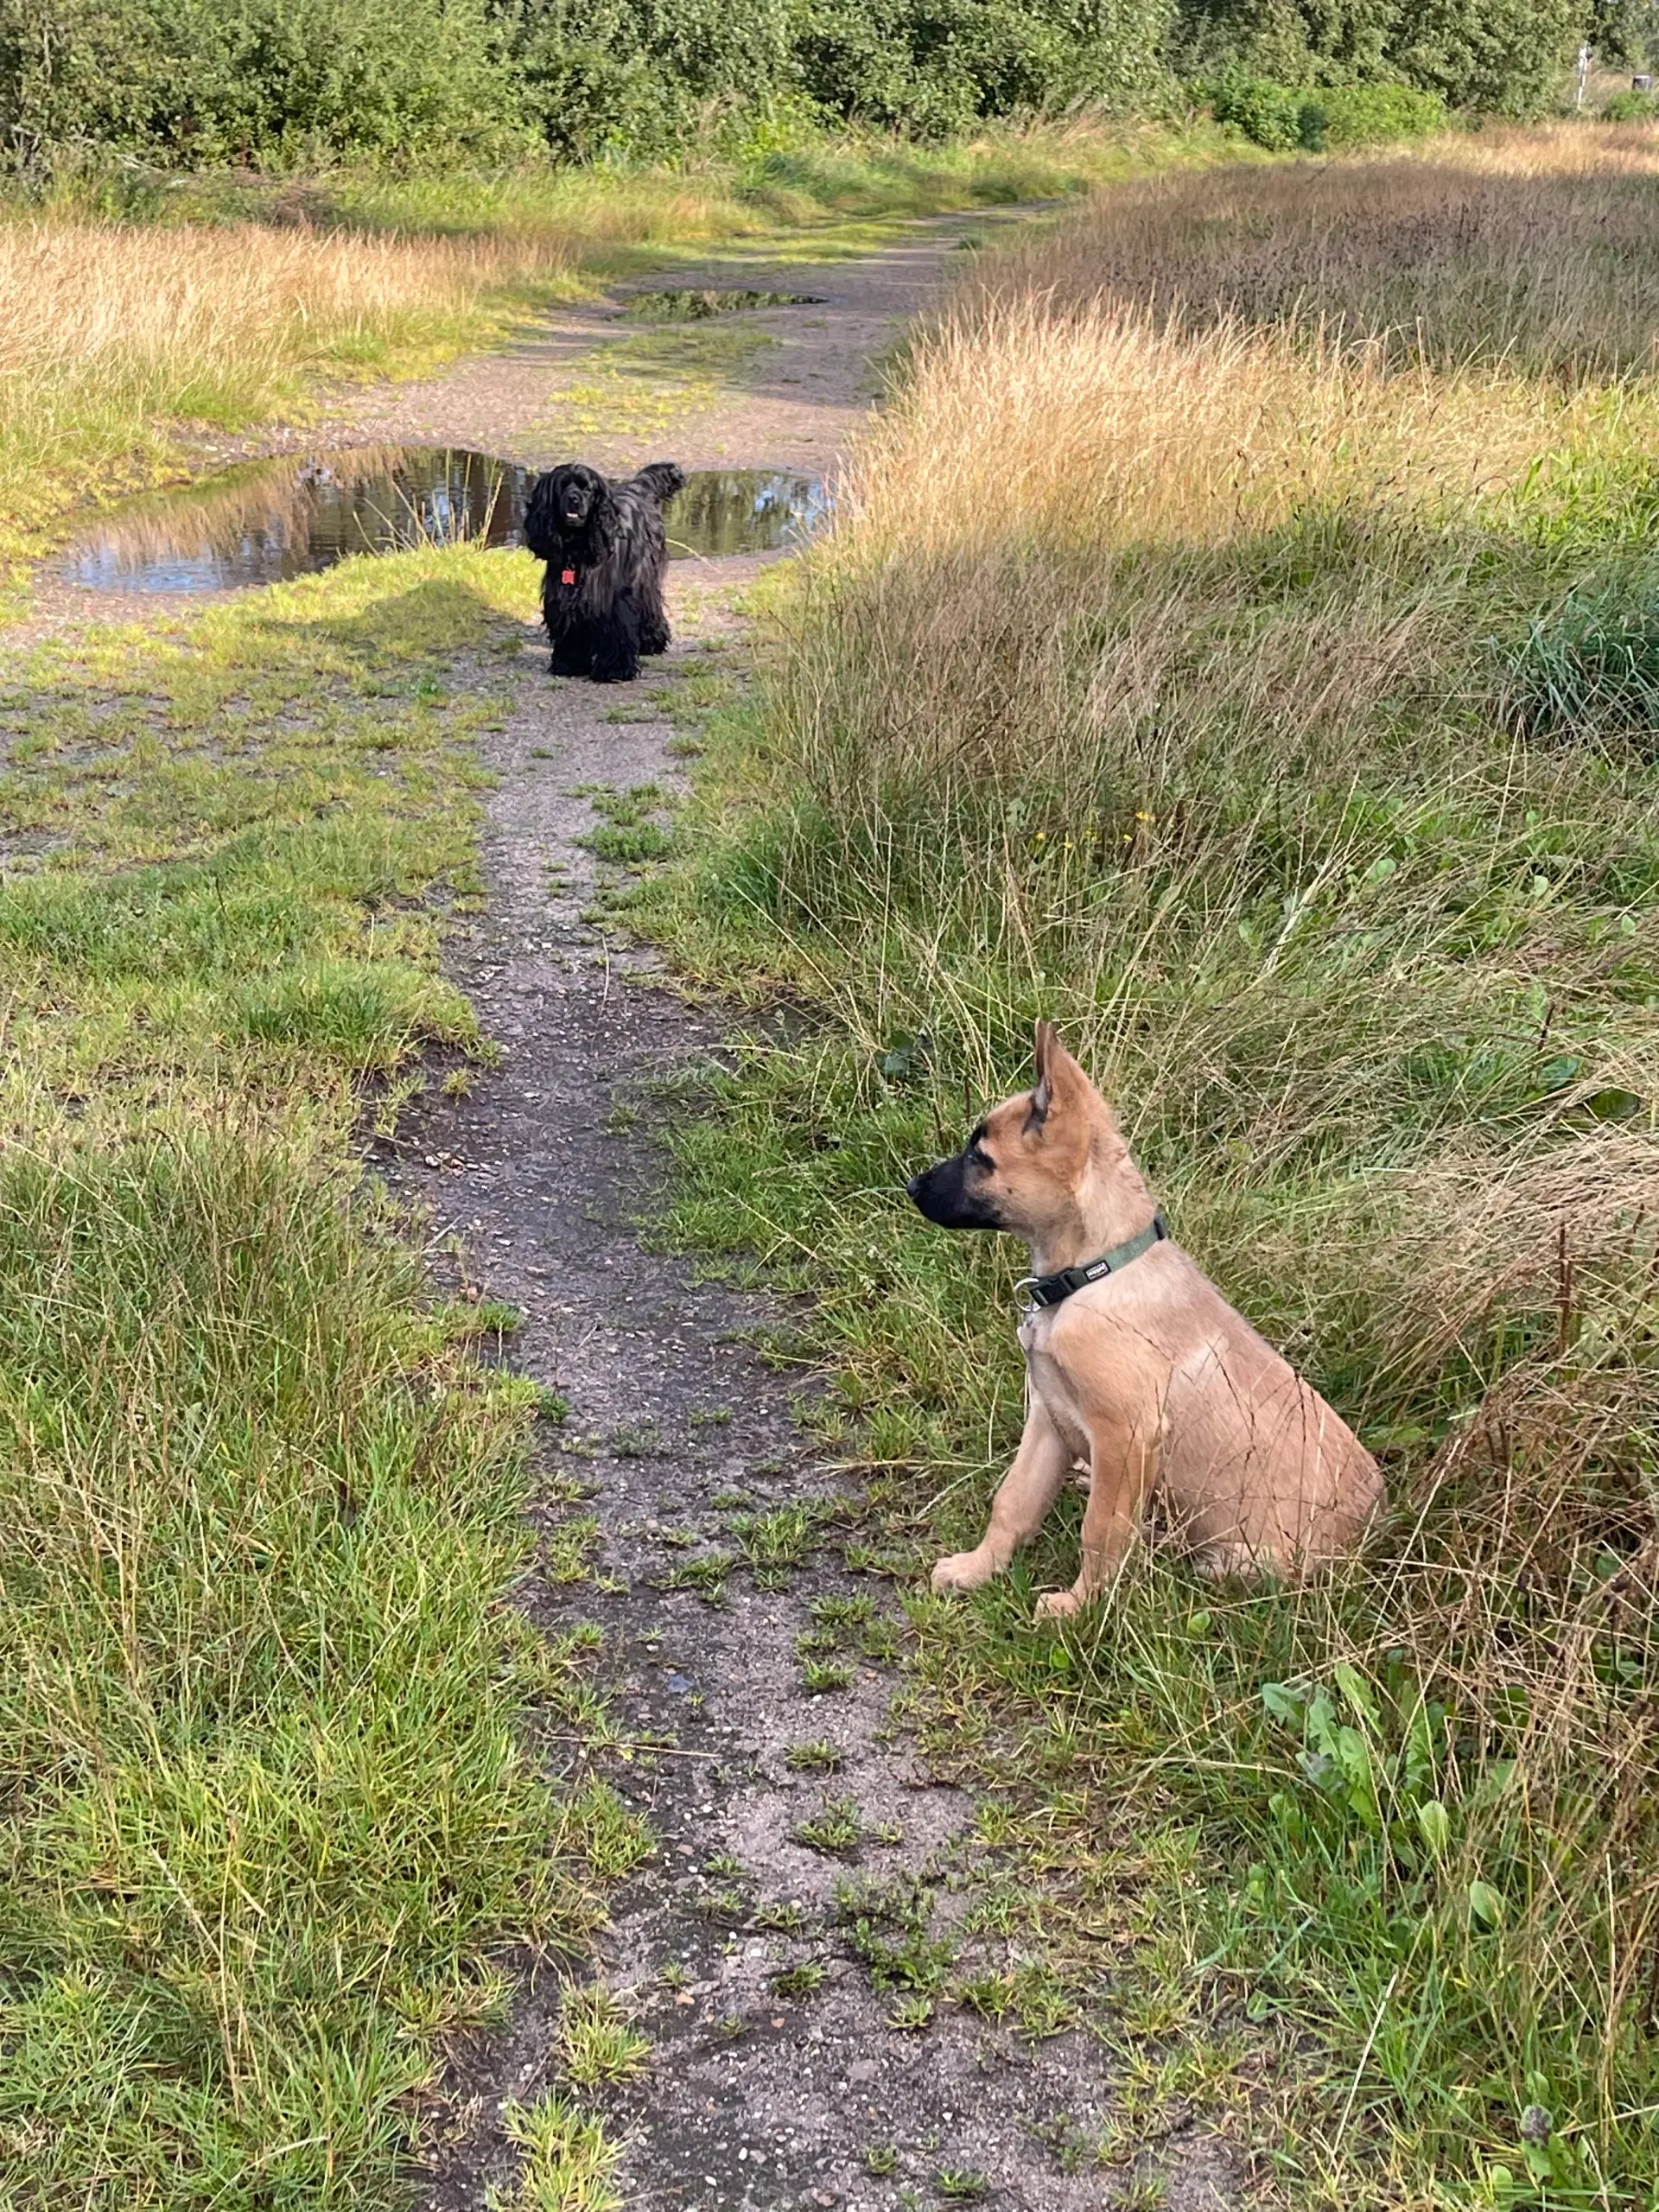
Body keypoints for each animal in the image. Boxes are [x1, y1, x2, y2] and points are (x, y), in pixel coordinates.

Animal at [528, 457, 690, 681]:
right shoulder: (563, 596)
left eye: (587, 489)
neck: (578, 548)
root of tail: (637, 489)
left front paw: (615, 669)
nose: (574, 498)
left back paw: (652, 641)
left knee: (651, 606)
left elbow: (617, 631)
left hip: (645, 576)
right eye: (562, 486)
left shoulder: (616, 598)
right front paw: (570, 663)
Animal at [902, 1013, 1380, 1610]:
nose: (910, 1185)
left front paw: (1080, 1607)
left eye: (979, 1158)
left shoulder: (1126, 1433)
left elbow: (1102, 1530)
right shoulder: (1049, 1419)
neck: (1093, 1273)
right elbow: (1013, 1500)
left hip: (1243, 1562)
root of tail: (1371, 1540)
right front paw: (977, 1569)